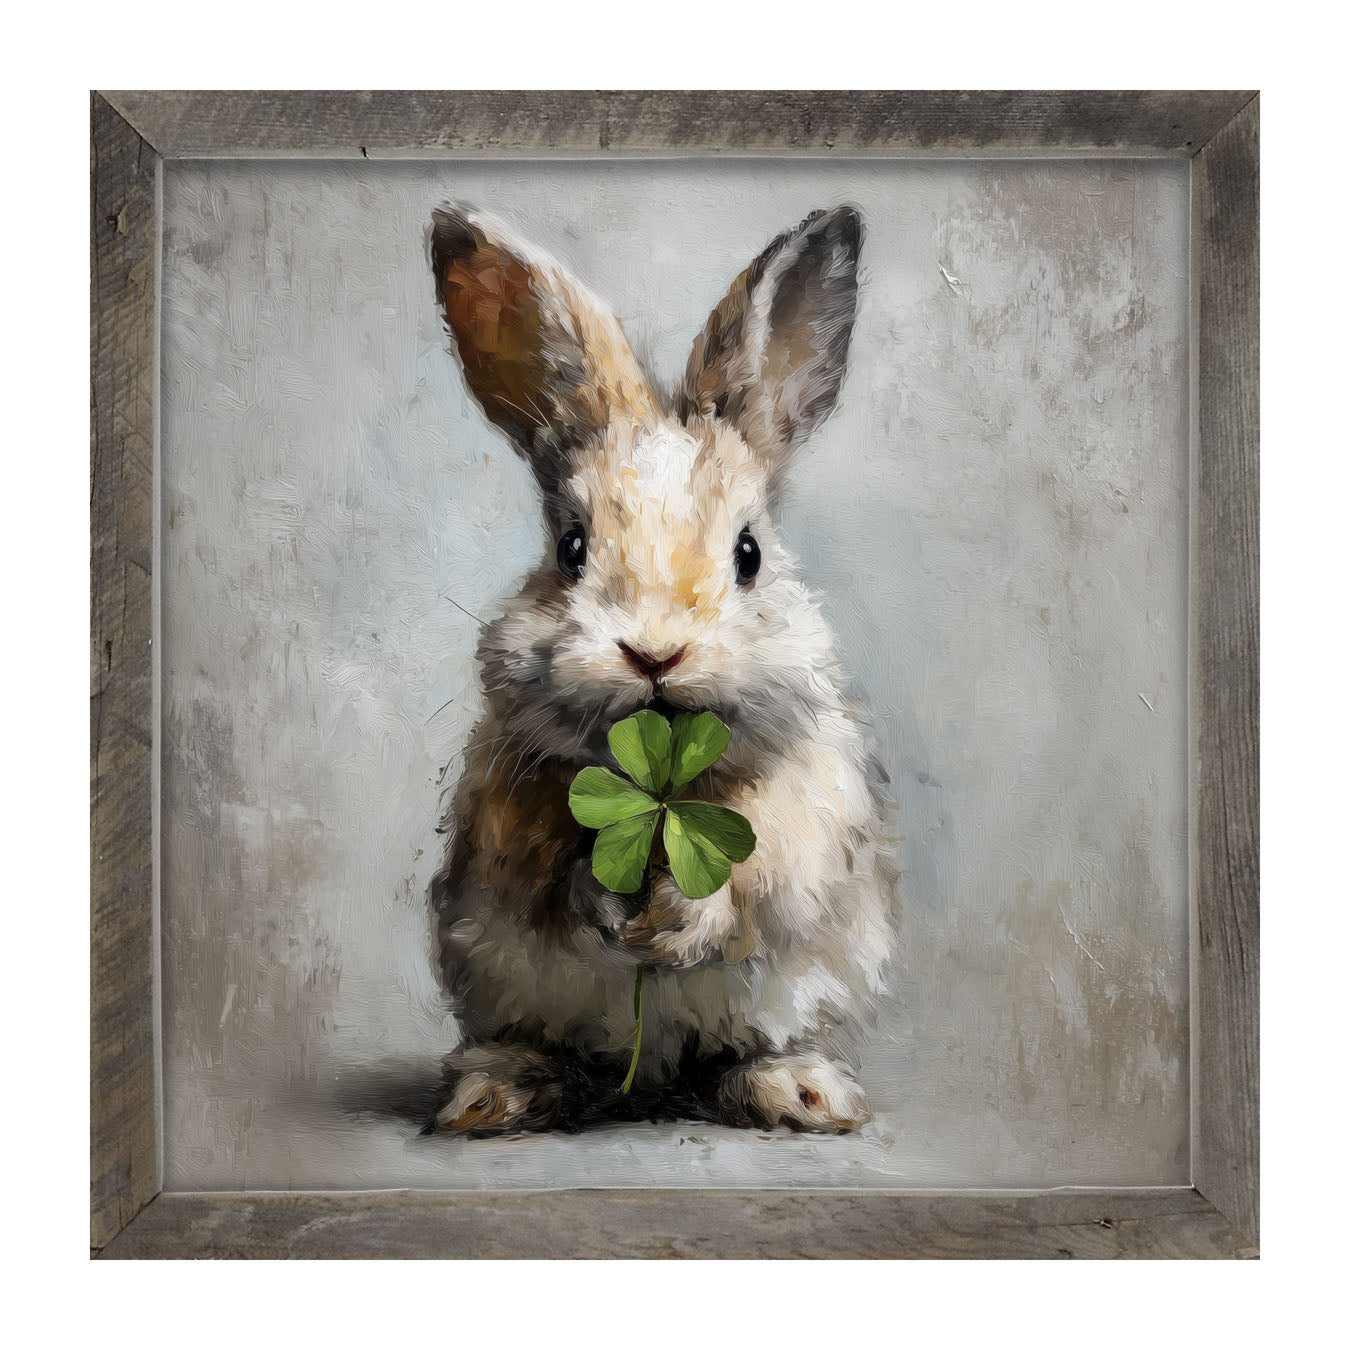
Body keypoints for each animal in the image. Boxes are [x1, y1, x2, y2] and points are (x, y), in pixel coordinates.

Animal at [425, 201, 898, 1136]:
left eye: (749, 553)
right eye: (571, 550)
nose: (654, 652)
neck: (666, 787)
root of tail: (653, 1078)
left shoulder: (805, 807)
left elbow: (758, 872)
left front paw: (678, 921)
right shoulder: (508, 814)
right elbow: (551, 874)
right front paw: (612, 910)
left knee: (751, 1050)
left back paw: (801, 1092)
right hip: (495, 983)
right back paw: (495, 1094)